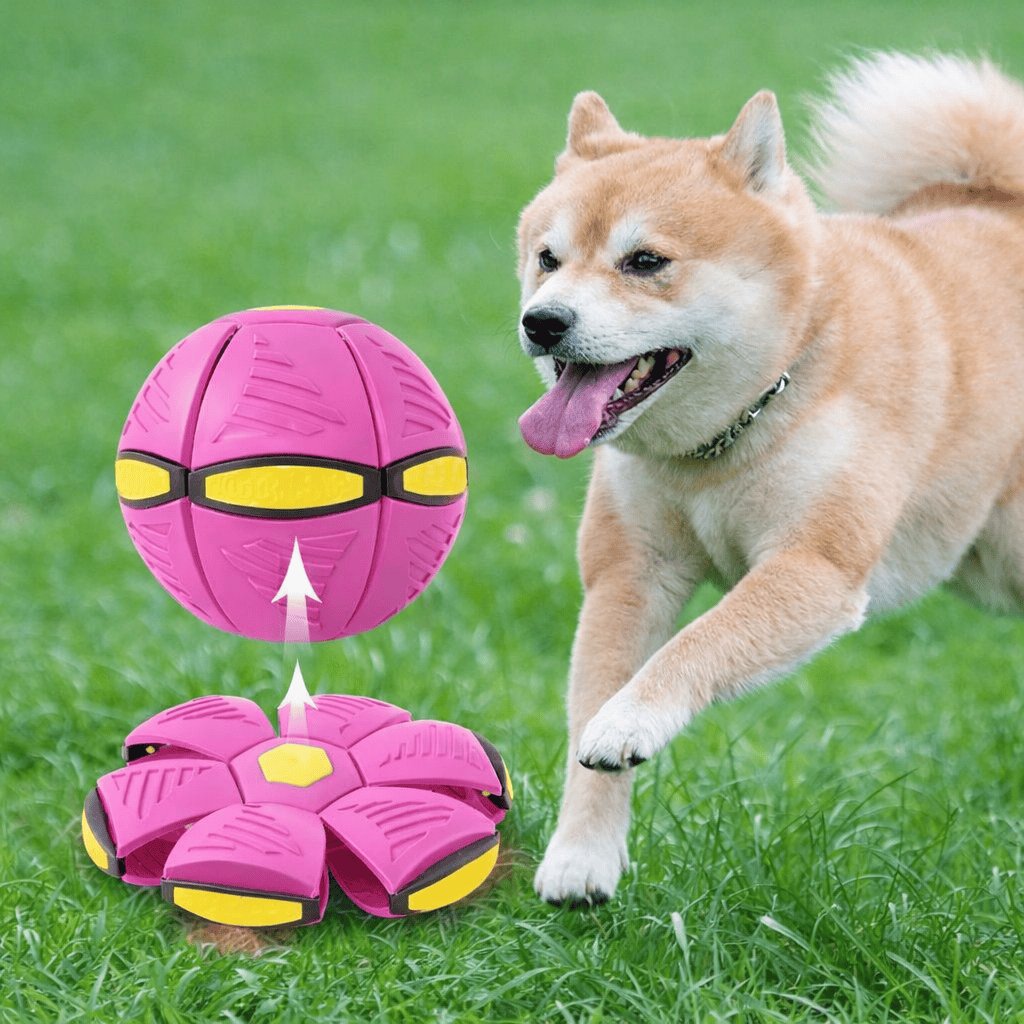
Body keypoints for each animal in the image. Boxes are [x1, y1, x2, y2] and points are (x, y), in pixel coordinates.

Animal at [515, 52, 1024, 906]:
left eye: (645, 262)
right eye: (547, 259)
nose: (543, 322)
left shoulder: (813, 568)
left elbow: (698, 644)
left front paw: (631, 721)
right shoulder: (629, 573)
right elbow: (592, 708)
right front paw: (581, 857)